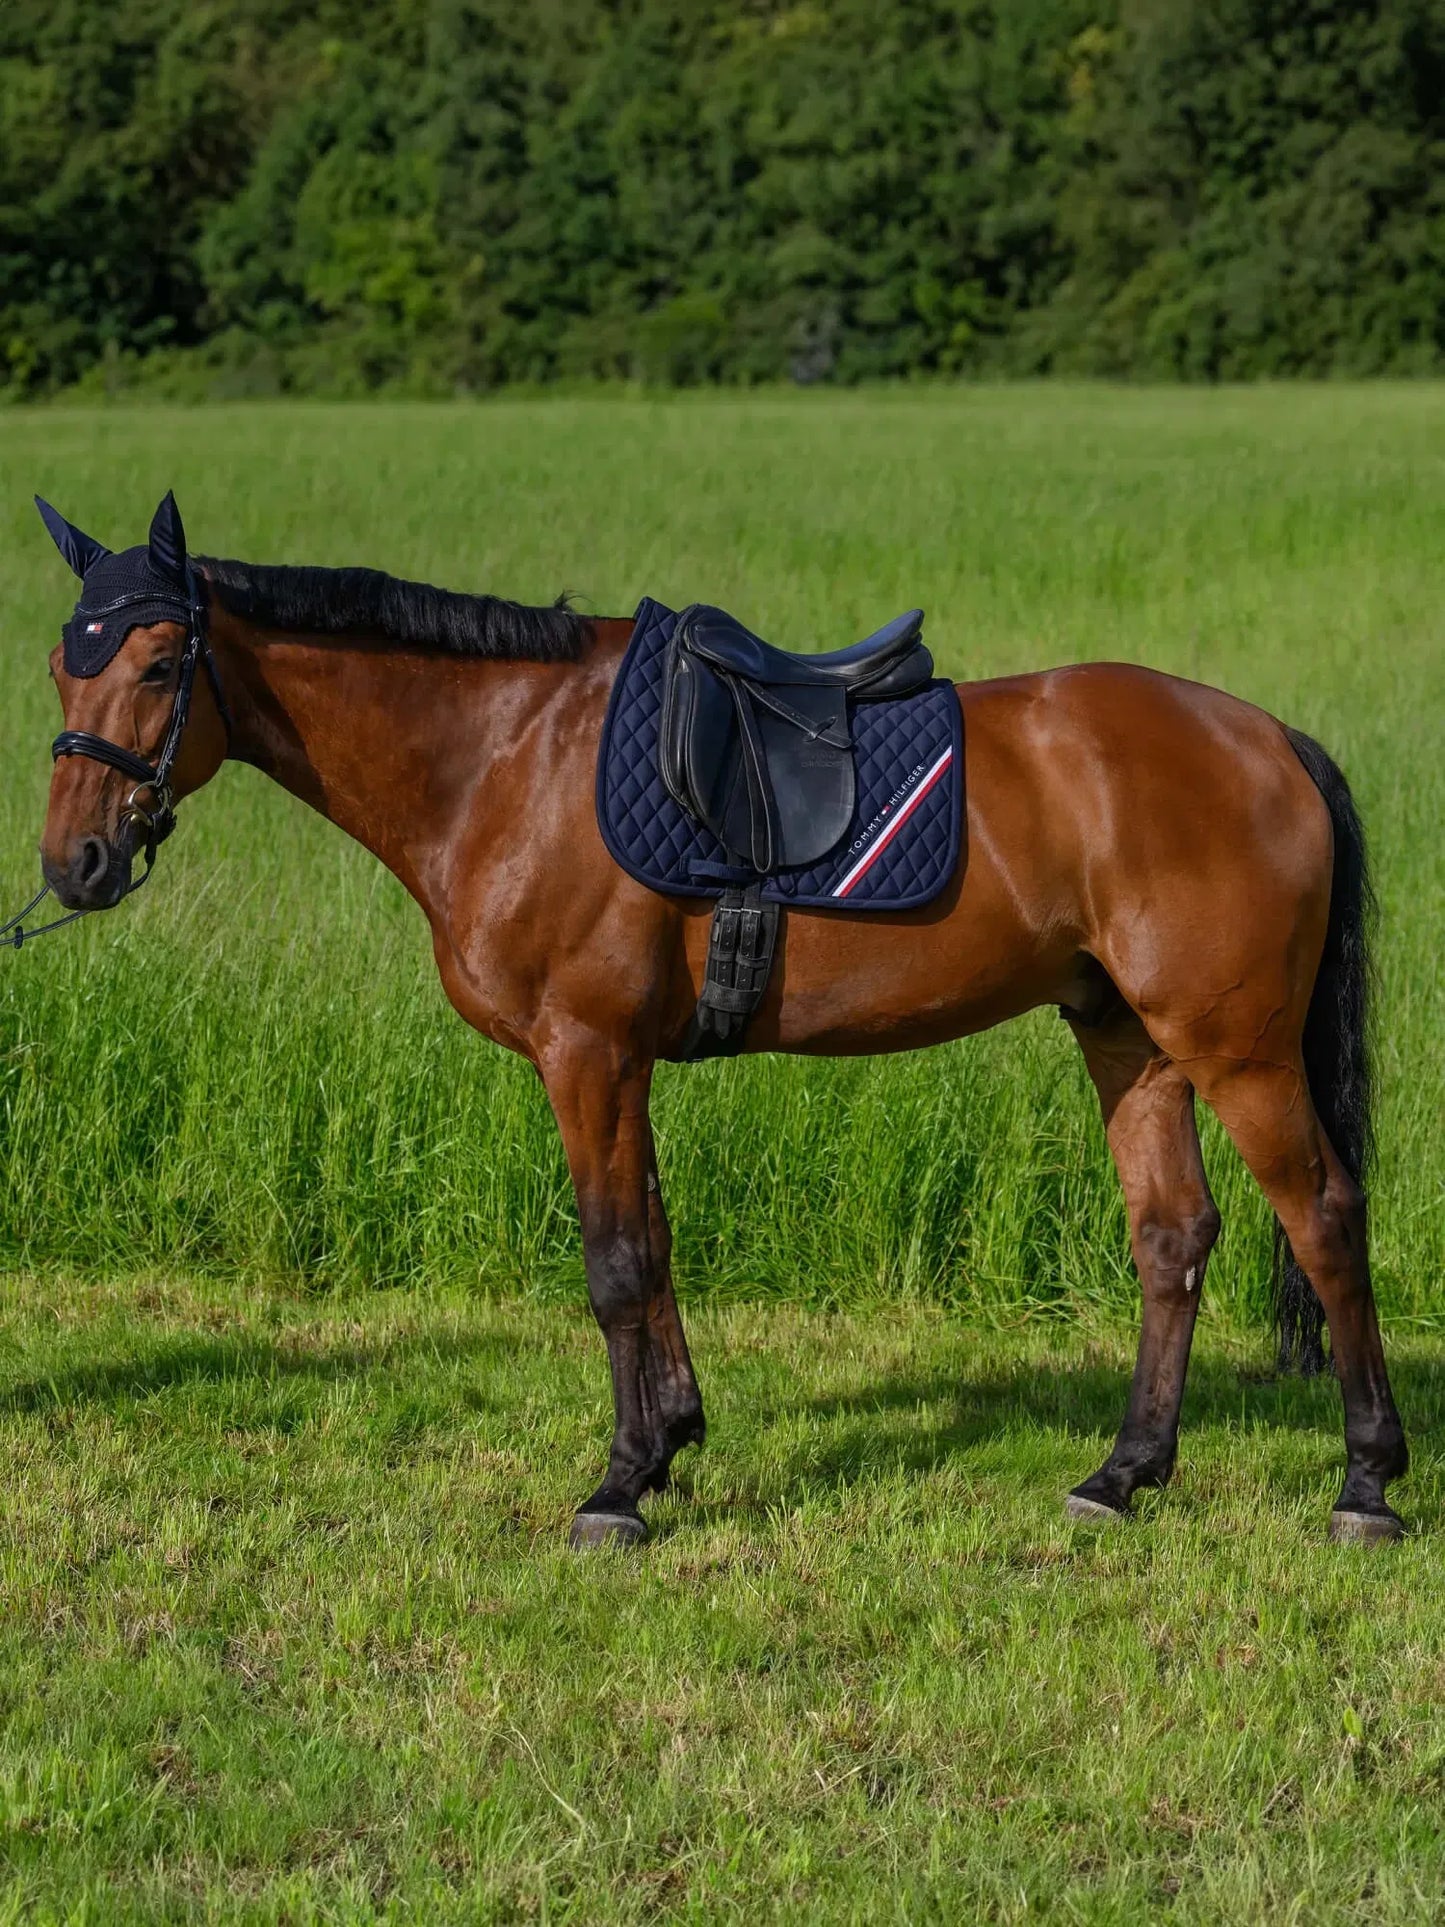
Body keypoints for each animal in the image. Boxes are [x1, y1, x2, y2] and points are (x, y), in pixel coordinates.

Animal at [24, 493, 1408, 1548]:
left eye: (159, 664)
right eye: (59, 662)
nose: (76, 863)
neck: (503, 756)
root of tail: (1266, 739)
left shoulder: (585, 1053)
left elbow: (613, 1262)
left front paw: (618, 1487)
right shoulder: (620, 1061)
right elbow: (653, 1239)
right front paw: (670, 1442)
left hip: (1234, 1048)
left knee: (1323, 1219)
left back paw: (1364, 1485)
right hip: (1128, 1039)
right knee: (1171, 1237)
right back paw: (1120, 1475)